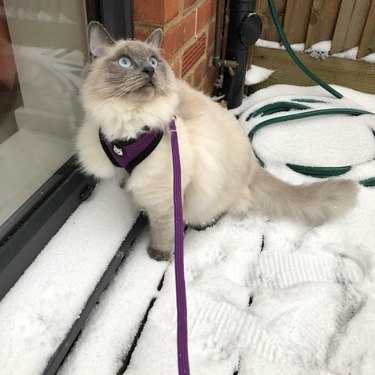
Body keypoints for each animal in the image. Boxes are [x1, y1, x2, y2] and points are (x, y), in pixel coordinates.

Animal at [76, 21, 358, 262]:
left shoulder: (165, 192)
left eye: (154, 61)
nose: (150, 70)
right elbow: (128, 178)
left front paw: (159, 254)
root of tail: (253, 165)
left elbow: (164, 229)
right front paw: (125, 184)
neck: (129, 122)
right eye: (124, 62)